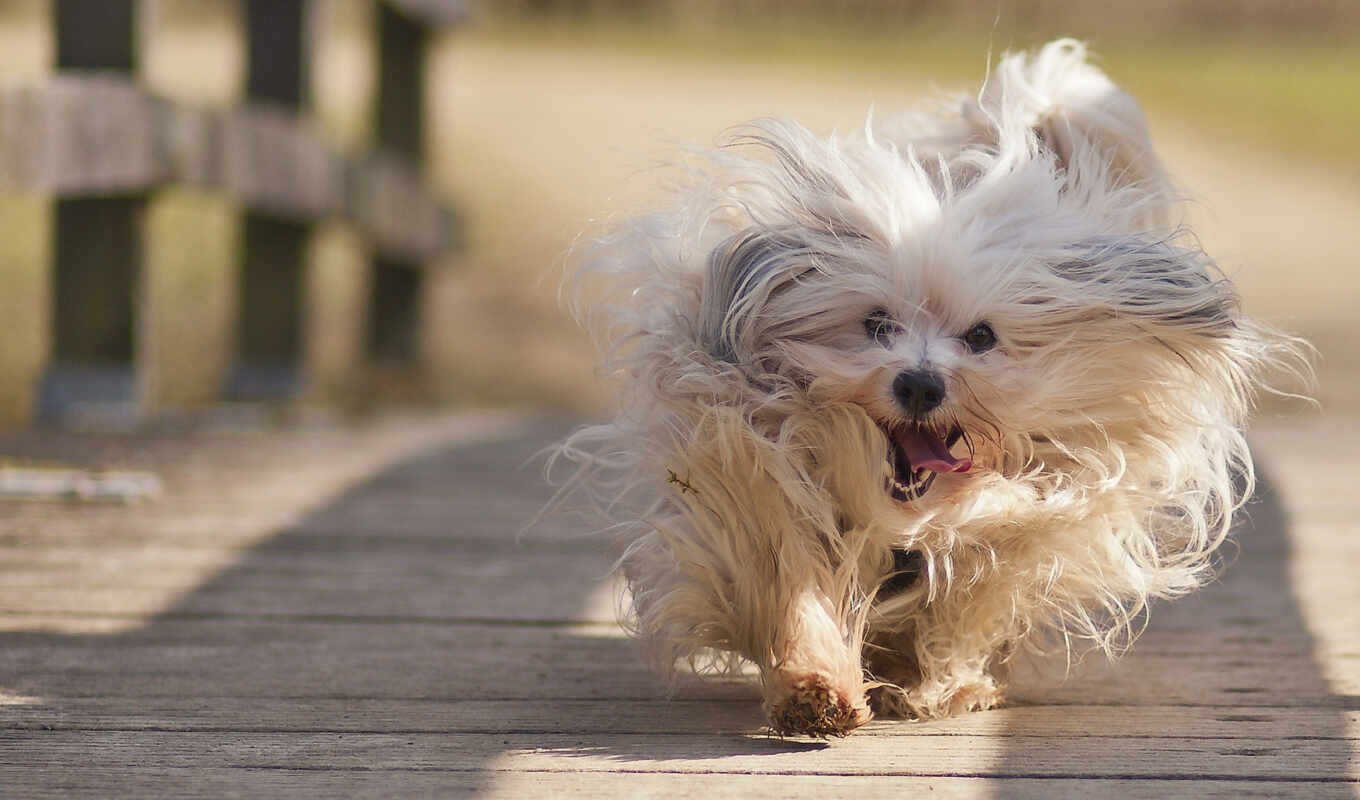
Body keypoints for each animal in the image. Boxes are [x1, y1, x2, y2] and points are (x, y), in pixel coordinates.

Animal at [546, 39, 1311, 740]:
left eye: (982, 336)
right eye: (877, 324)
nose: (918, 383)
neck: (902, 509)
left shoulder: (1028, 522)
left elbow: (968, 602)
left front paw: (942, 686)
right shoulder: (760, 480)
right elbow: (795, 586)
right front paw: (816, 685)